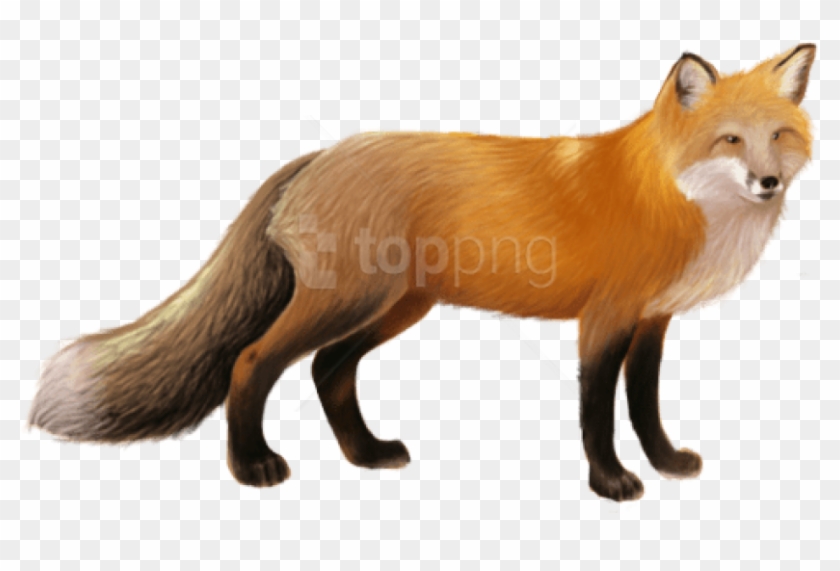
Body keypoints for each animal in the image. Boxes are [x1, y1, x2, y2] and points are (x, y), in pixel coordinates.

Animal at [29, 45, 816, 501]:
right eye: (729, 140)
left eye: (779, 134)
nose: (769, 181)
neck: (674, 199)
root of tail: (318, 155)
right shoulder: (605, 319)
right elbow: (597, 413)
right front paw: (612, 481)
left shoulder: (652, 320)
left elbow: (645, 406)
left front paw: (666, 463)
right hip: (349, 300)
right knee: (252, 362)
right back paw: (252, 466)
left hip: (395, 307)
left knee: (328, 370)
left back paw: (366, 454)